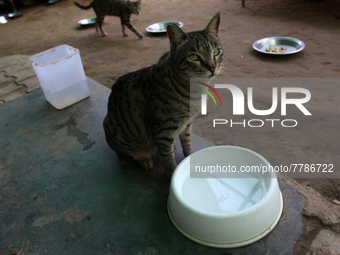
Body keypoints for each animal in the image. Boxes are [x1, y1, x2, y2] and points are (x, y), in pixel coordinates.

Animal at [105, 12, 224, 176]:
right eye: (194, 57)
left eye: (216, 52)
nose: (212, 68)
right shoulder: (163, 132)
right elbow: (168, 159)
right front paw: (171, 174)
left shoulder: (186, 124)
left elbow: (186, 142)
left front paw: (190, 155)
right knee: (127, 152)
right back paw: (144, 158)